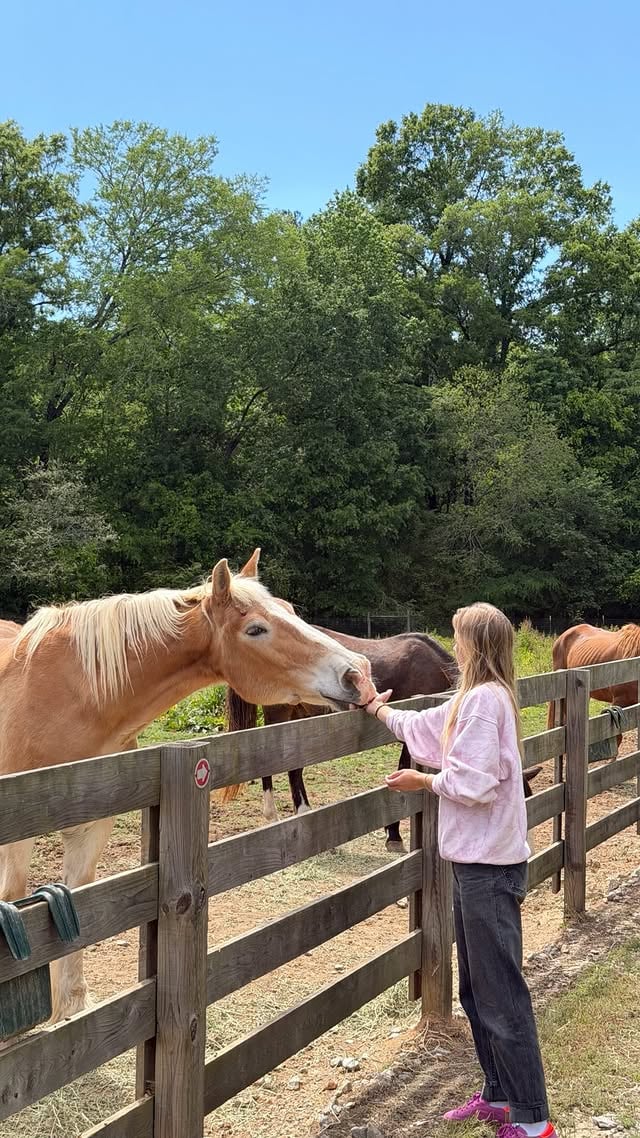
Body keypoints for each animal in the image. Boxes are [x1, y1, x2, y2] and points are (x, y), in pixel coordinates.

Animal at [0, 549, 373, 1021]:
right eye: (255, 629)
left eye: (290, 611)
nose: (358, 673)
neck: (71, 697)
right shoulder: (15, 837)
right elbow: (13, 896)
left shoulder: (92, 829)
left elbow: (82, 905)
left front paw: (74, 1008)